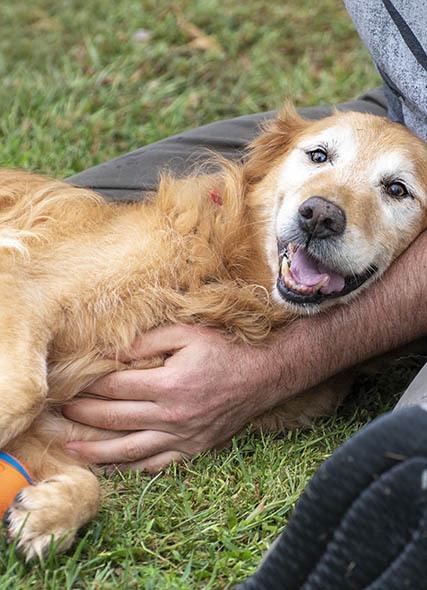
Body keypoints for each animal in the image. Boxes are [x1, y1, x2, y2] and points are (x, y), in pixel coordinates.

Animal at [0, 107, 427, 560]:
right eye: (319, 155)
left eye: (397, 189)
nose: (320, 215)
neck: (227, 281)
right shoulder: (20, 281)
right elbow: (26, 395)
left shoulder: (65, 433)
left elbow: (86, 483)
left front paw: (43, 515)